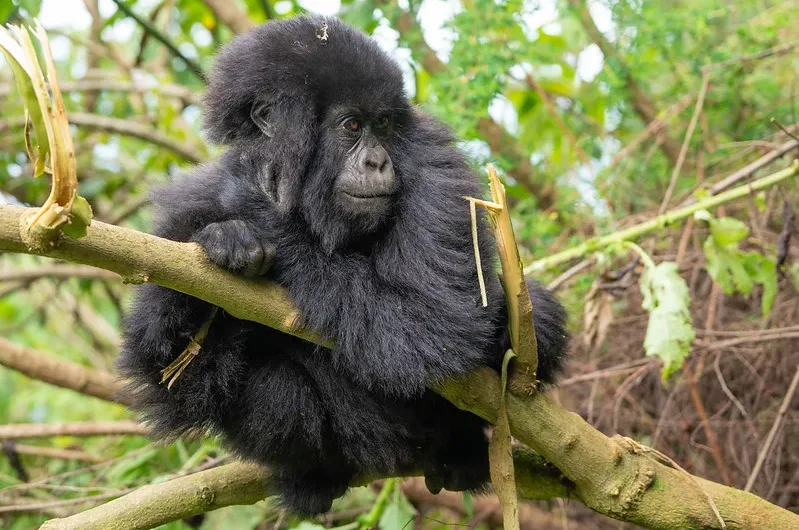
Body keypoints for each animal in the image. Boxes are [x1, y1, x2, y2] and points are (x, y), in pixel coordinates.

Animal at [117, 15, 568, 512]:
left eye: (384, 124)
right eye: (351, 125)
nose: (377, 162)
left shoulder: (433, 164)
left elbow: (434, 324)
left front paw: (249, 204)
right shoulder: (181, 213)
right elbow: (170, 377)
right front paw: (225, 237)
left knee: (532, 313)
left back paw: (460, 452)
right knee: (272, 389)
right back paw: (313, 475)